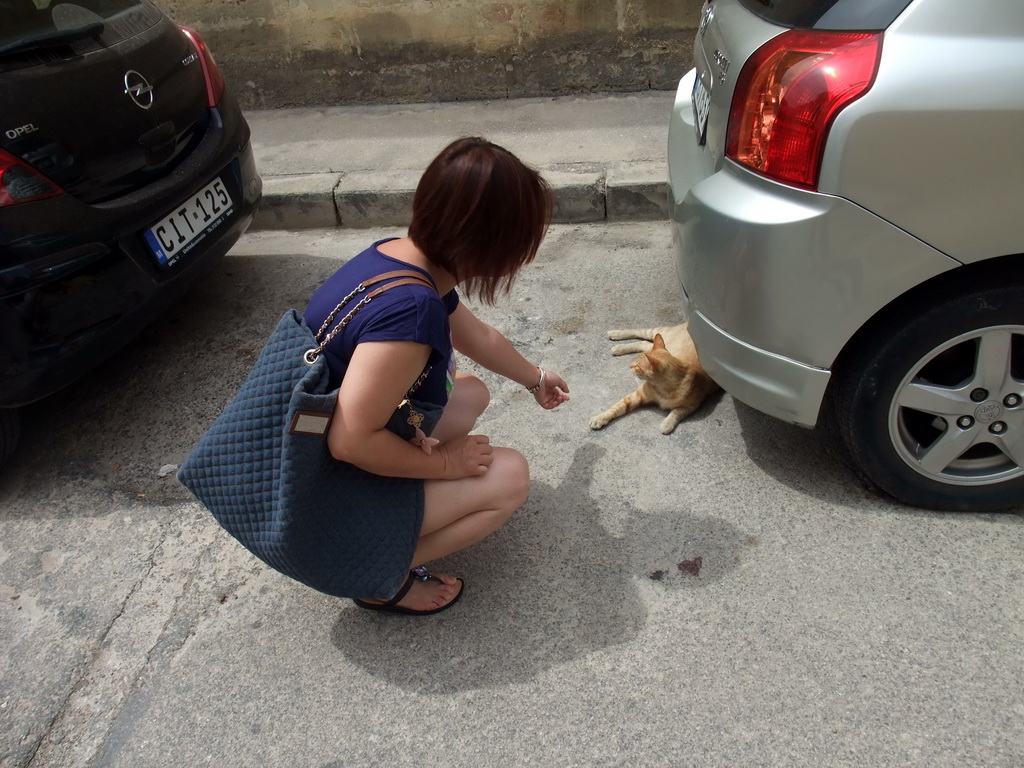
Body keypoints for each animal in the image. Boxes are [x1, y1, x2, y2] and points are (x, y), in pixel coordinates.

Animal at [589, 323, 724, 434]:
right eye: (635, 362)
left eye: (637, 366)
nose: (630, 366)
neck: (663, 390)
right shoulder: (637, 395)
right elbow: (616, 407)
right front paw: (600, 418)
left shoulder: (693, 404)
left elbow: (677, 412)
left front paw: (667, 423)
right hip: (658, 332)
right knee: (640, 334)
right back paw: (616, 335)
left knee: (645, 344)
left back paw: (618, 347)